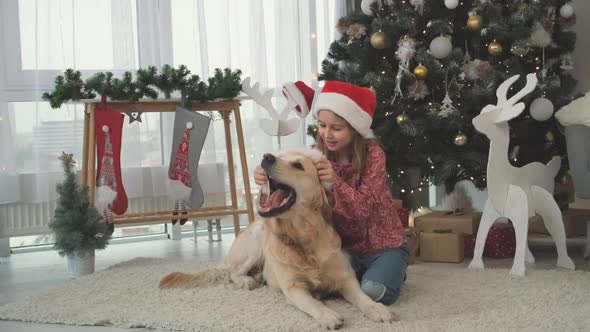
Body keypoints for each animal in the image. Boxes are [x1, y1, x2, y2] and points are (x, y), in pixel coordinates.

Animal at [160, 148, 398, 330]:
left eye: (298, 165)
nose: (267, 157)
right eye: (279, 155)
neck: (304, 237)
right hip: (255, 243)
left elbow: (363, 296)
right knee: (233, 273)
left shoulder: (346, 279)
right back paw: (247, 280)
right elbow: (312, 304)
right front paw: (328, 315)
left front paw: (377, 309)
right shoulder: (293, 288)